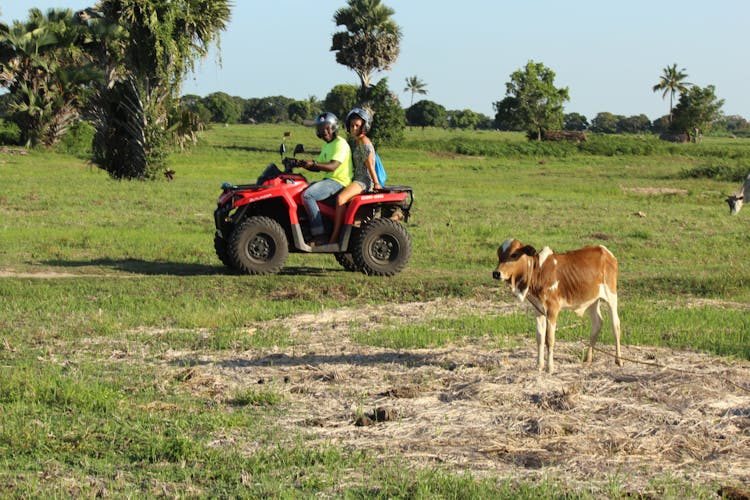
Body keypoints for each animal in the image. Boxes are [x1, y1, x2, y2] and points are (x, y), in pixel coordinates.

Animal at [494, 239, 624, 376]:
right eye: (499, 255)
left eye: (513, 254)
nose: (496, 273)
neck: (537, 272)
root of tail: (605, 251)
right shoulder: (538, 309)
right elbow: (540, 337)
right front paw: (539, 365)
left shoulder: (552, 309)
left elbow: (549, 339)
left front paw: (549, 368)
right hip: (591, 300)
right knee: (597, 323)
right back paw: (588, 358)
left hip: (611, 295)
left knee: (615, 325)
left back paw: (619, 360)